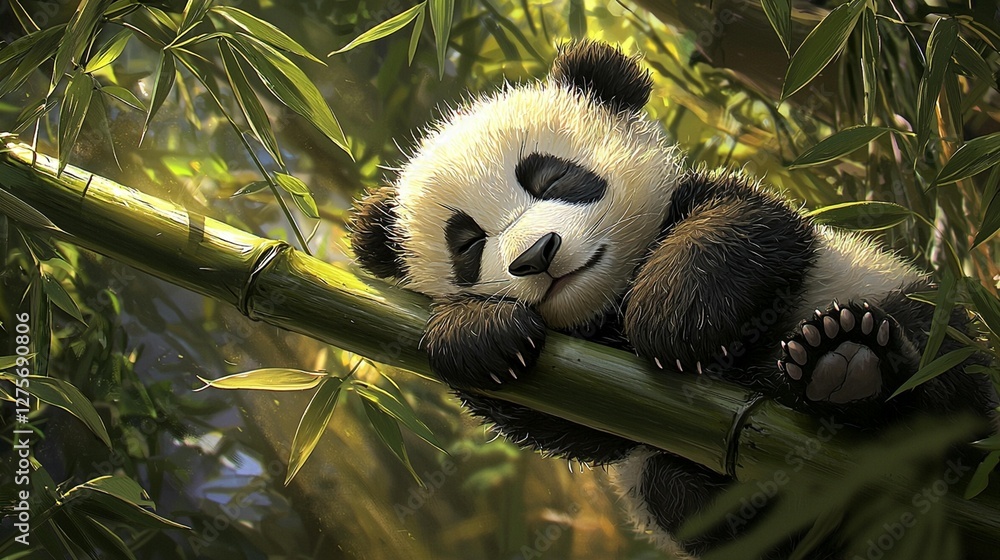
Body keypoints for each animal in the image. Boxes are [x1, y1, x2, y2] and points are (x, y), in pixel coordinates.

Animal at [349, 41, 998, 559]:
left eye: (552, 178)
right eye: (468, 243)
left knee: (945, 360)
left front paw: (671, 323)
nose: (536, 253)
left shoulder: (724, 214)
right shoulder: (591, 377)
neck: (609, 296)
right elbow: (580, 422)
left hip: (883, 293)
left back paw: (850, 359)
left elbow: (748, 227)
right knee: (677, 493)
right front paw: (481, 336)